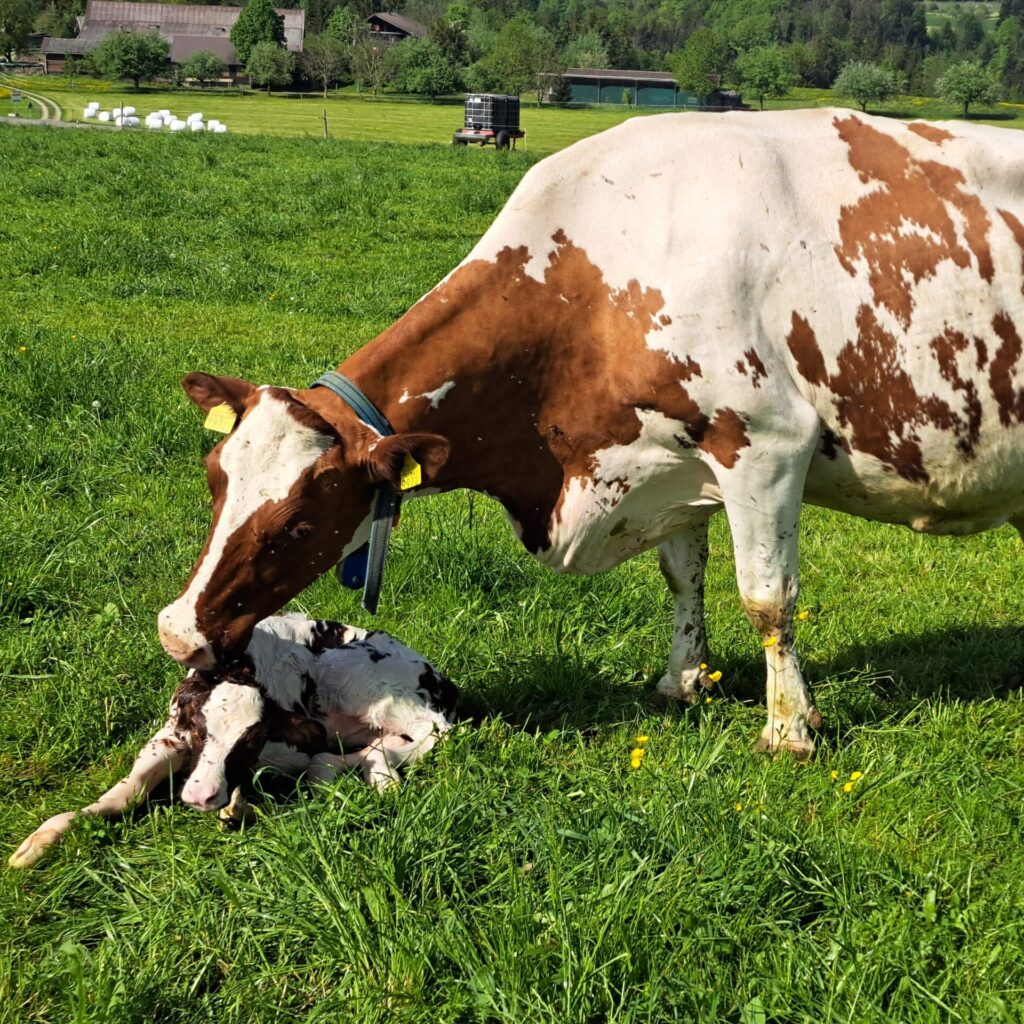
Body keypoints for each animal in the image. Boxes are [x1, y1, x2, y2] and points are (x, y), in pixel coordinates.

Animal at [9, 615, 456, 869]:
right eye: (199, 728)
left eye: (252, 738)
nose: (199, 797)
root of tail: (439, 677)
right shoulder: (170, 734)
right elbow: (129, 790)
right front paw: (44, 838)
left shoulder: (292, 747)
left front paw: (237, 804)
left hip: (356, 677)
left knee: (436, 732)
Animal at [157, 109, 1024, 760]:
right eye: (214, 479)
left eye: (300, 522)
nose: (176, 633)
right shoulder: (676, 462)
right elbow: (684, 579)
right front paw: (682, 683)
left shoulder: (766, 444)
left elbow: (767, 600)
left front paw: (789, 731)